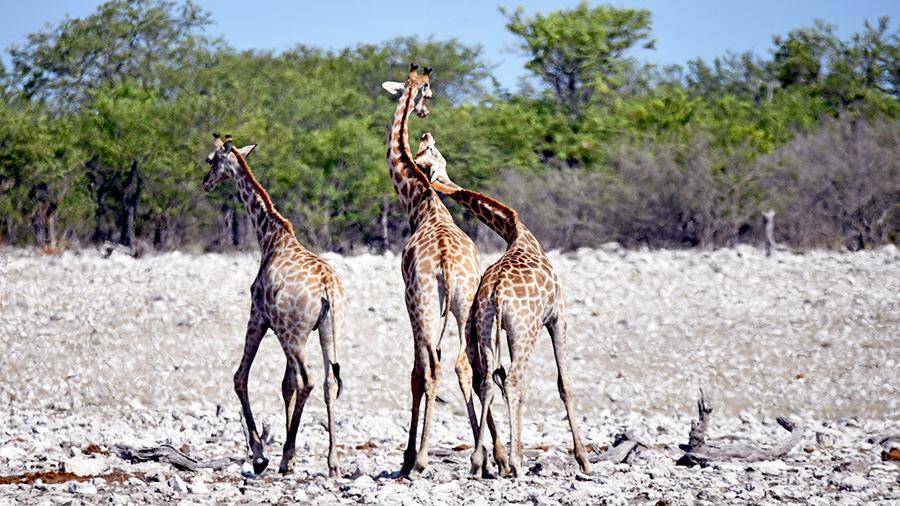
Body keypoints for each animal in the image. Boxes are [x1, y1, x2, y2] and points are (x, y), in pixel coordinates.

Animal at [203, 132, 344, 476]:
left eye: (211, 160)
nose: (206, 183)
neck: (269, 237)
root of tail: (327, 289)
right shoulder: (286, 328)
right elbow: (286, 385)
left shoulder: (258, 316)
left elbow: (241, 377)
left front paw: (259, 454)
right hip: (327, 330)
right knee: (326, 382)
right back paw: (332, 461)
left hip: (294, 334)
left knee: (307, 381)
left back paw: (285, 457)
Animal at [380, 64, 510, 478]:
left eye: (428, 93)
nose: (424, 122)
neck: (422, 204)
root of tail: (447, 266)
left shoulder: (409, 301)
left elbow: (416, 372)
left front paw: (407, 457)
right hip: (466, 303)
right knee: (471, 364)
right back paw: (492, 457)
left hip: (425, 304)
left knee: (435, 367)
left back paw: (420, 459)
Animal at [418, 131, 596, 478]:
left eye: (429, 149)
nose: (425, 134)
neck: (517, 231)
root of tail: (498, 294)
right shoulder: (558, 316)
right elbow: (564, 384)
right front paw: (583, 458)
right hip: (524, 331)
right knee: (514, 380)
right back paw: (514, 461)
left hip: (486, 326)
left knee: (487, 380)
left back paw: (479, 460)